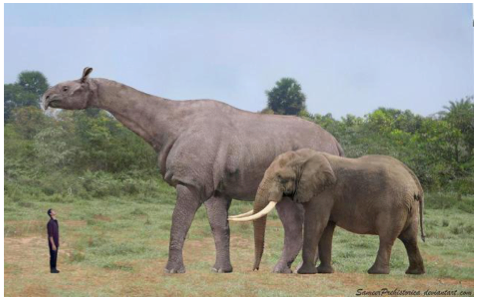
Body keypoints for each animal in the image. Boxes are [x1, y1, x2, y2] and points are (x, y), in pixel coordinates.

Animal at [229, 148, 426, 274]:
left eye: (280, 178)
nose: (255, 269)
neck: (304, 158)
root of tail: (413, 179)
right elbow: (326, 228)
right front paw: (324, 272)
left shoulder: (324, 192)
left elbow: (316, 224)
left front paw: (305, 272)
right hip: (408, 207)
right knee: (409, 238)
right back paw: (415, 272)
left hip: (393, 205)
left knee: (387, 237)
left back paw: (376, 272)